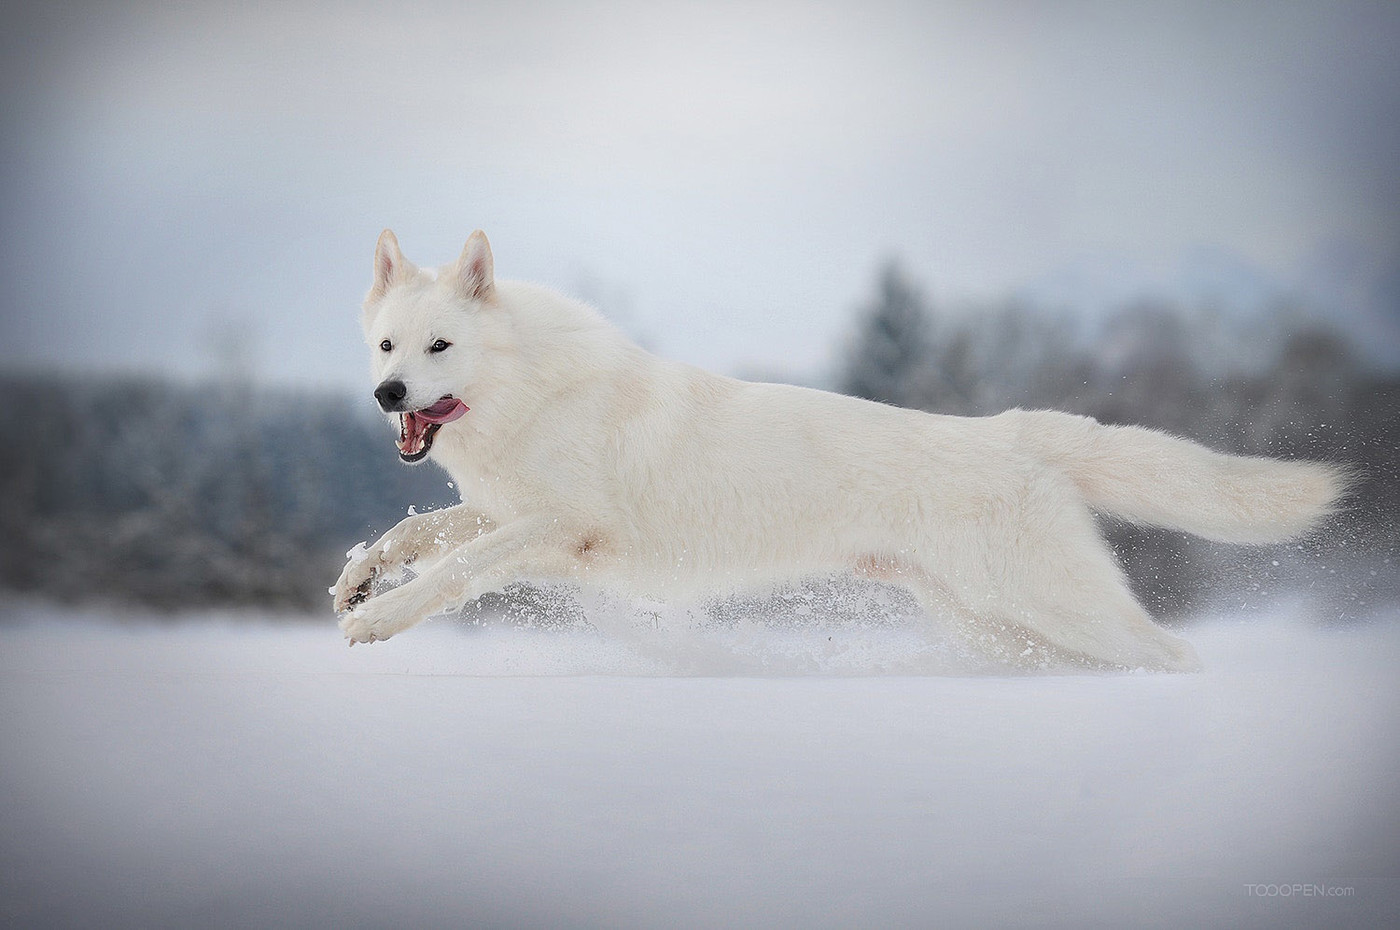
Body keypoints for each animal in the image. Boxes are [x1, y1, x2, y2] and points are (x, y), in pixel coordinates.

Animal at [333, 231, 1349, 669]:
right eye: (386, 347)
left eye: (439, 348)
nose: (387, 395)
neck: (530, 393)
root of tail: (1010, 428)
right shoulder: (510, 512)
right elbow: (419, 532)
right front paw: (356, 579)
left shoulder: (561, 527)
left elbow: (457, 567)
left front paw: (380, 622)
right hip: (996, 626)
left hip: (1051, 609)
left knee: (1175, 654)